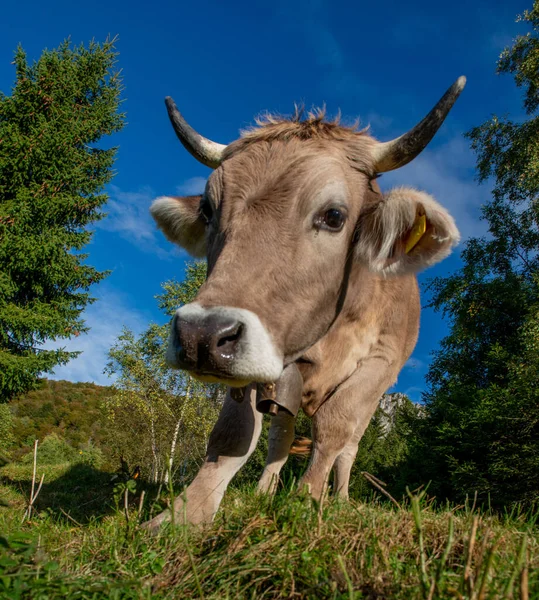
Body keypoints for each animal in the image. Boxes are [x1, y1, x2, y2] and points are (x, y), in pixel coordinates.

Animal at [142, 77, 464, 532]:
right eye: (207, 210)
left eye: (334, 216)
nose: (200, 335)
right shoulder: (266, 351)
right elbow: (235, 433)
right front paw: (184, 515)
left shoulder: (380, 362)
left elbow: (335, 429)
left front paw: (307, 503)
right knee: (282, 436)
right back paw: (264, 492)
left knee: (348, 447)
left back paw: (339, 498)